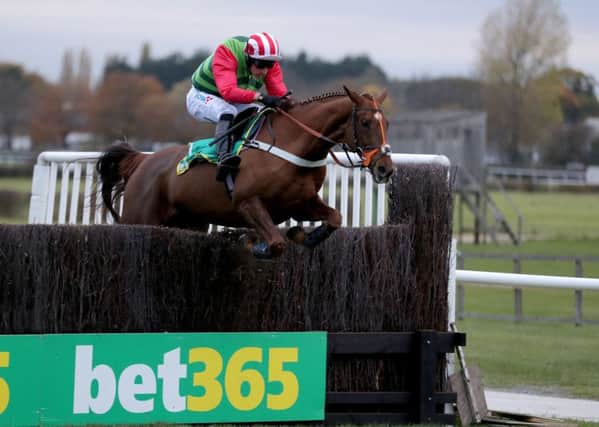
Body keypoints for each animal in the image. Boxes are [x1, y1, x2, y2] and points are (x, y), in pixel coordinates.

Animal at [97, 86, 394, 258]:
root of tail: (140, 161)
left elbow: (335, 218)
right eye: (365, 122)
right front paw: (249, 240)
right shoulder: (246, 201)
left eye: (387, 123)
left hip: (189, 222)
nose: (385, 168)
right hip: (140, 218)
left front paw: (303, 235)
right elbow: (275, 243)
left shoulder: (300, 203)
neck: (292, 144)